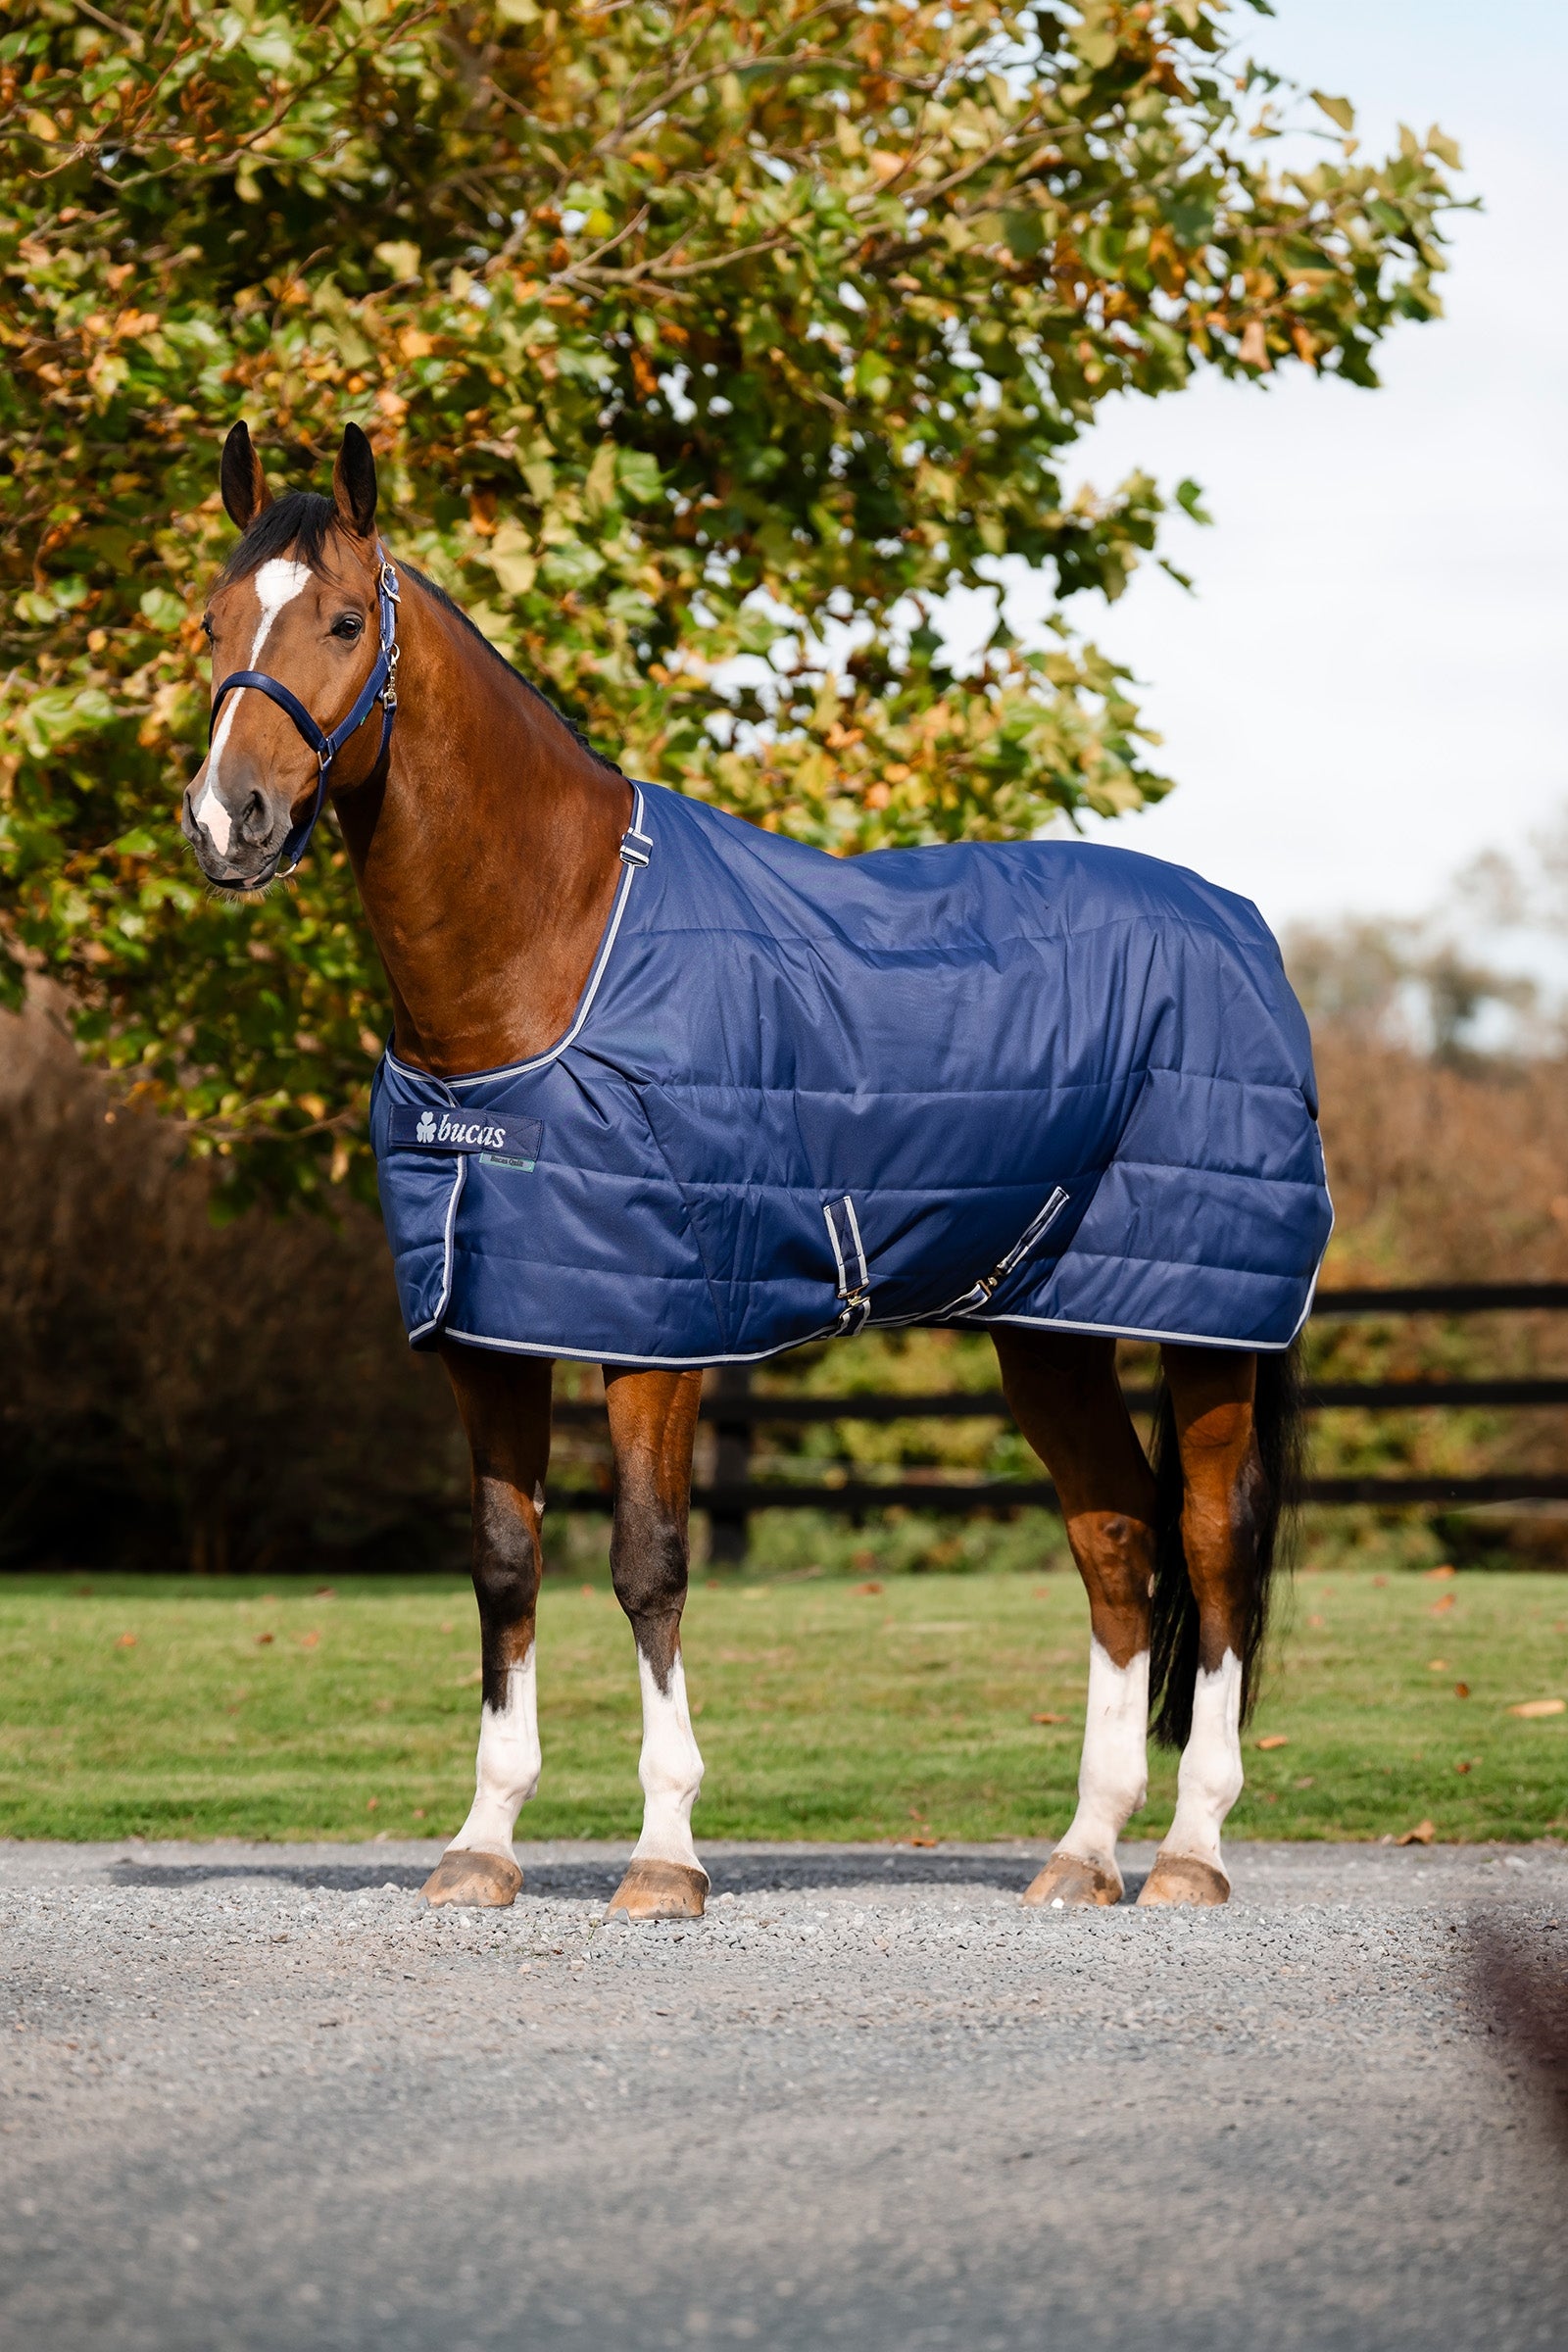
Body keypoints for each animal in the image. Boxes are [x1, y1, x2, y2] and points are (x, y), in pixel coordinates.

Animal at [181, 421, 1327, 1920]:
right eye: (209, 623)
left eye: (341, 621)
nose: (230, 821)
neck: (551, 950)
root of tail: (1242, 926)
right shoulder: (489, 1327)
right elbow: (505, 1567)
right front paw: (482, 1844)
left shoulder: (660, 1335)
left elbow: (647, 1564)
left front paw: (664, 1855)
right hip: (1047, 1327)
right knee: (1117, 1542)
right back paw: (1083, 1854)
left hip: (1204, 1324)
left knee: (1207, 1541)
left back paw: (1191, 1852)